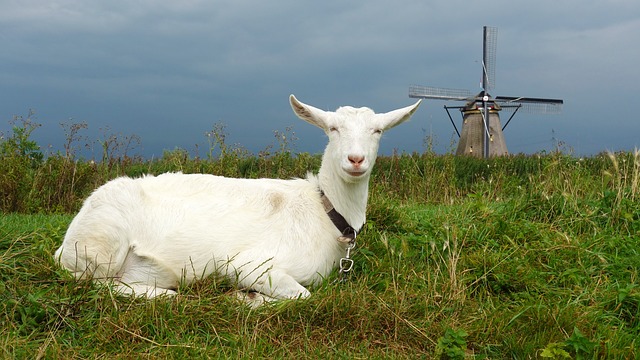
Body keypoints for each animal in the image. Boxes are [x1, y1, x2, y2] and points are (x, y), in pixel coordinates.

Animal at [55, 95, 420, 304]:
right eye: (332, 128)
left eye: (378, 131)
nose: (356, 160)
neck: (322, 212)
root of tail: (65, 243)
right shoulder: (248, 264)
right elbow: (302, 295)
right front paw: (245, 297)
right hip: (100, 244)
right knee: (91, 283)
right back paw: (167, 296)